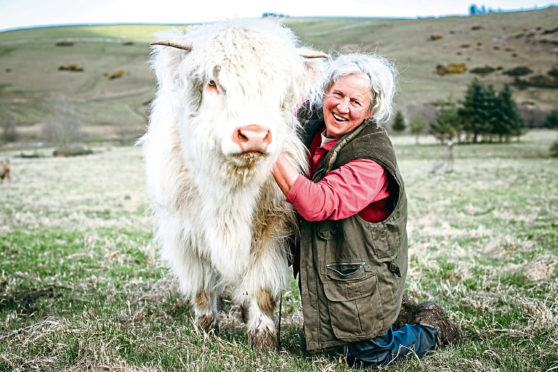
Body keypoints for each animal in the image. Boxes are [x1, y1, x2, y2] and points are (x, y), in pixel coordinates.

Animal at [141, 18, 328, 348]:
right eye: (213, 83)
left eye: (278, 89)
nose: (253, 135)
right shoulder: (183, 232)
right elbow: (202, 285)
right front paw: (205, 328)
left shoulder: (273, 228)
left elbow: (262, 287)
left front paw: (263, 336)